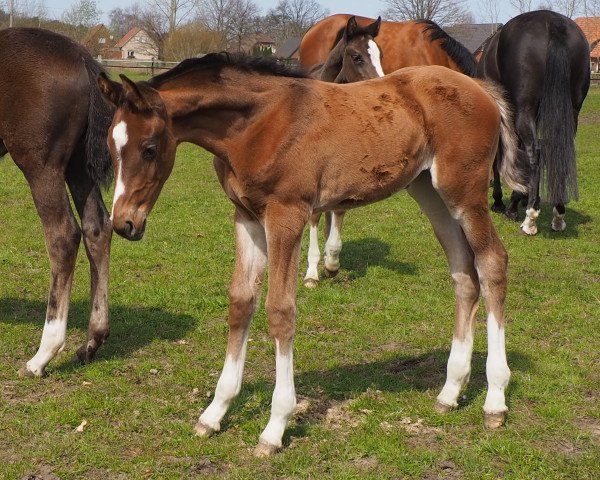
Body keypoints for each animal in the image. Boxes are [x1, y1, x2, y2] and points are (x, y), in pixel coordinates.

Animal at [0, 28, 113, 376]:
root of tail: (81, 57)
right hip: (78, 165)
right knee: (97, 227)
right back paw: (91, 342)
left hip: (41, 165)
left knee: (63, 235)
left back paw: (43, 355)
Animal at [97, 54, 520, 456]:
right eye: (109, 149)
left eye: (149, 149)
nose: (124, 223)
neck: (255, 126)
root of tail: (480, 88)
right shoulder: (246, 216)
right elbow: (241, 302)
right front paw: (215, 412)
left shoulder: (287, 214)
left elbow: (280, 311)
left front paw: (275, 427)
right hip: (428, 191)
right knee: (464, 273)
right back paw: (450, 391)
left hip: (464, 191)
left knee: (492, 264)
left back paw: (495, 399)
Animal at [478, 10, 592, 235]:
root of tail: (554, 22)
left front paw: (504, 202)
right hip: (571, 112)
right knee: (558, 150)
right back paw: (558, 215)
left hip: (525, 111)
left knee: (535, 153)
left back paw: (529, 217)